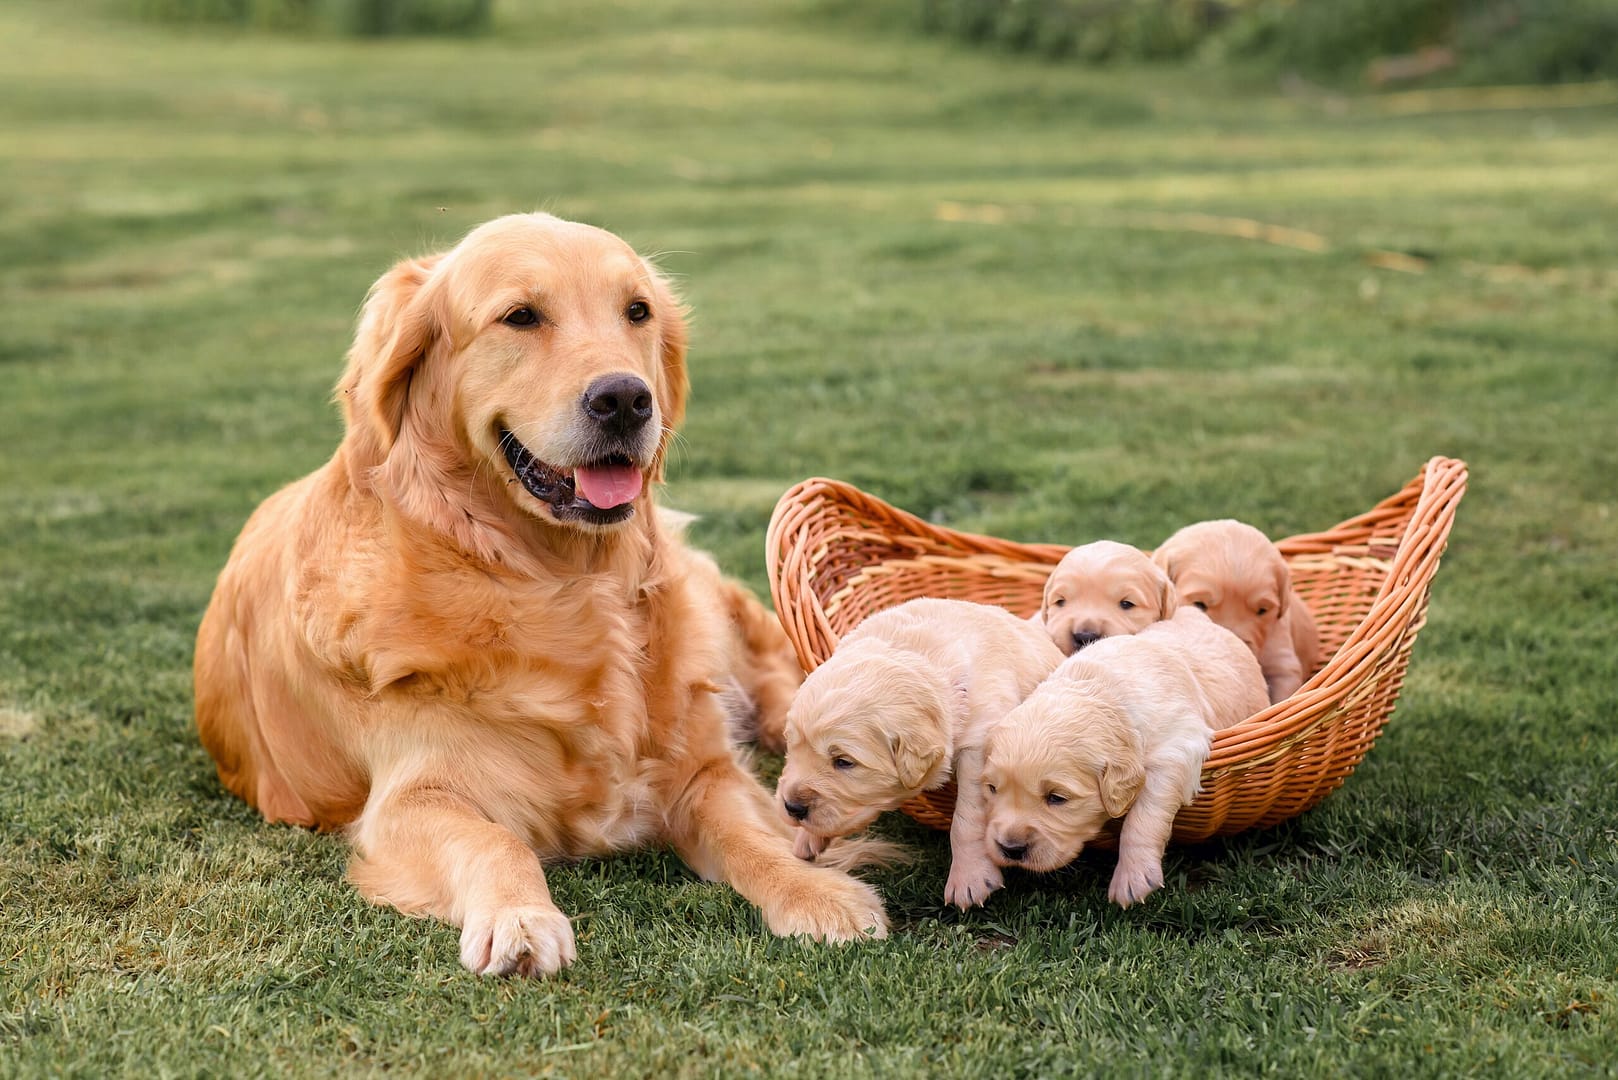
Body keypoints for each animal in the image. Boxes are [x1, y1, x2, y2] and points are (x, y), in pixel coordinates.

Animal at [776, 599, 1067, 913]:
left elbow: (966, 818)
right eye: (791, 746)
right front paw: (807, 838)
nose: (792, 807)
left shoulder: (980, 744)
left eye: (843, 762)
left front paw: (969, 878)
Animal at [977, 608, 1268, 906]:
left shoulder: (1179, 744)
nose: (1011, 848)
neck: (1103, 691)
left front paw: (1134, 876)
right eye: (992, 789)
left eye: (1057, 798)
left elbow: (1144, 815)